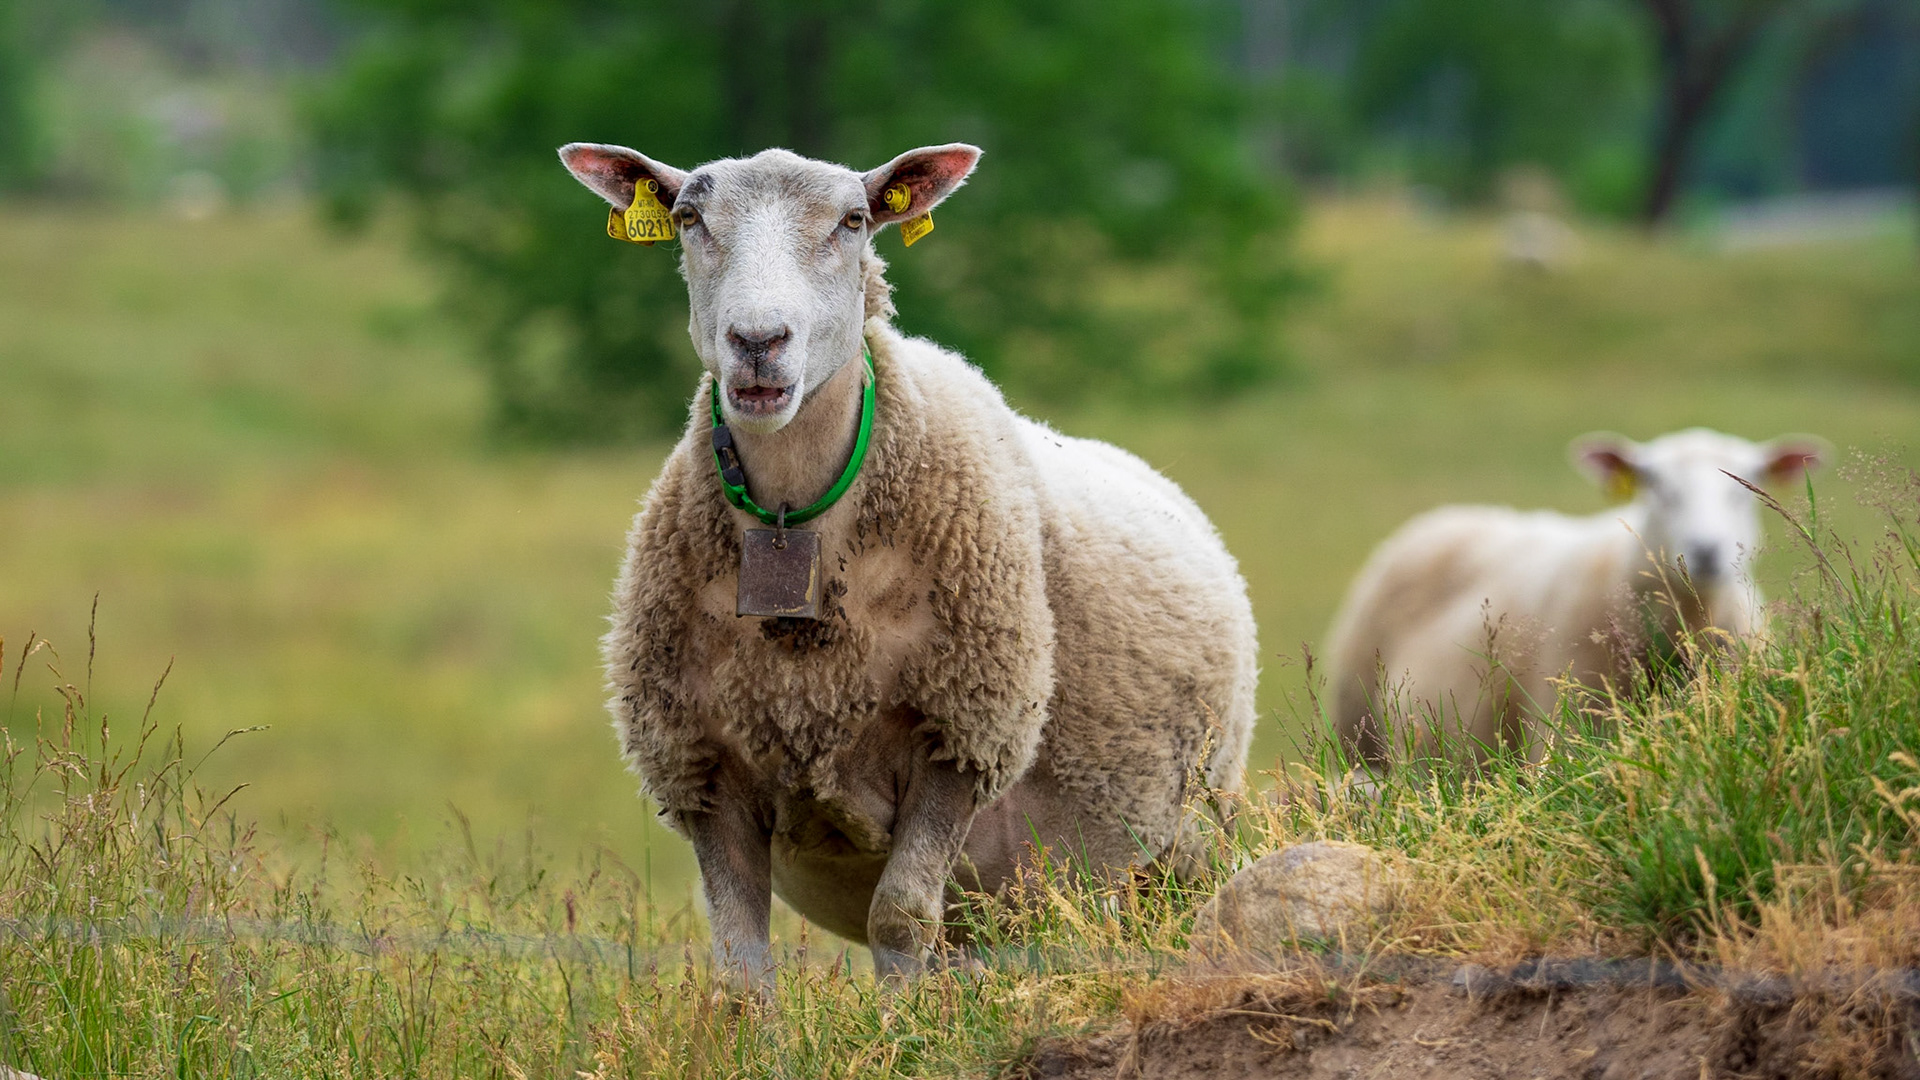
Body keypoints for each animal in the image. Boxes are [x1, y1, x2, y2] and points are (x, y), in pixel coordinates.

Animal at [559, 142, 1257, 986]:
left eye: (854, 222)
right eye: (689, 218)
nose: (758, 340)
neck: (795, 522)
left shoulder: (961, 731)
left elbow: (897, 919)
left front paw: (900, 1020)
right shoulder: (703, 764)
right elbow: (741, 962)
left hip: (1188, 832)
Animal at [1325, 428, 1825, 771]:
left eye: (1747, 485)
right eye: (1654, 484)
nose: (1706, 550)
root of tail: (1444, 516)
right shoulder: (1563, 720)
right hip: (1362, 740)